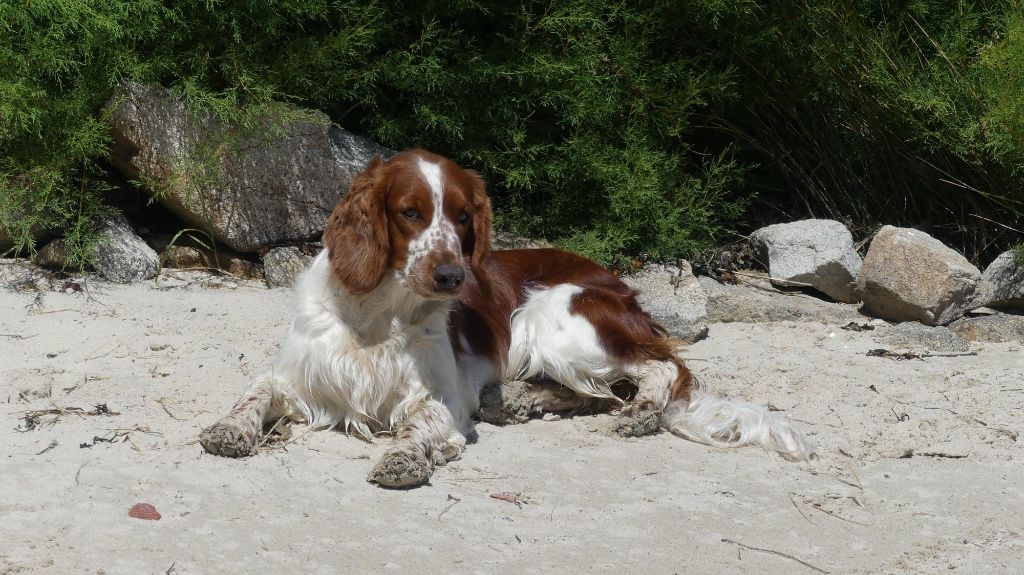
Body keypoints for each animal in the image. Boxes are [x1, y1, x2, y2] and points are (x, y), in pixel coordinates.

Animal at [199, 149, 814, 488]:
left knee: (658, 371)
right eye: (410, 212)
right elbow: (252, 394)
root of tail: (620, 285)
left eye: (463, 217)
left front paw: (402, 459)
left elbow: (419, 427)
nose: (453, 276)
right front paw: (227, 429)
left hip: (552, 312)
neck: (377, 314)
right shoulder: (295, 376)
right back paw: (516, 399)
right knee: (597, 392)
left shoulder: (441, 399)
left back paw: (636, 413)